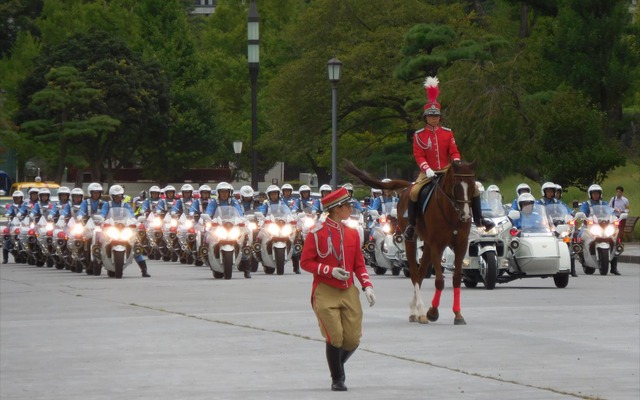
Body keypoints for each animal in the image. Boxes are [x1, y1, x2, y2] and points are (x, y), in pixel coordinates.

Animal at [344, 159, 476, 324]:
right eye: (457, 184)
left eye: (472, 185)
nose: (465, 215)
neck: (451, 213)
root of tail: (409, 187)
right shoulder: (437, 245)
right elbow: (439, 280)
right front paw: (433, 312)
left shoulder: (460, 245)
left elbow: (457, 278)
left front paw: (458, 314)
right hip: (411, 241)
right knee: (414, 273)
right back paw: (419, 310)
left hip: (427, 245)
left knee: (421, 272)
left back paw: (417, 309)